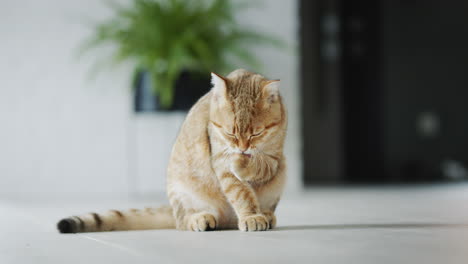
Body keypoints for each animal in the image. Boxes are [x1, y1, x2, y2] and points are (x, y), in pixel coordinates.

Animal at [56, 69, 288, 232]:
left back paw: (267, 215)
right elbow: (241, 192)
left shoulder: (276, 157)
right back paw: (201, 218)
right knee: (183, 221)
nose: (241, 148)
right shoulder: (221, 161)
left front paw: (243, 165)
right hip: (181, 192)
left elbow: (261, 166)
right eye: (230, 132)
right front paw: (250, 215)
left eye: (256, 133)